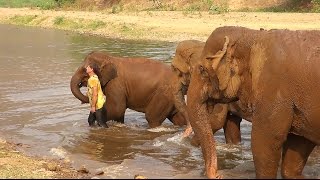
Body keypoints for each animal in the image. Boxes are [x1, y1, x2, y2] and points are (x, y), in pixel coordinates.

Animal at [186, 25, 320, 179]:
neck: (252, 36)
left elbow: (264, 141)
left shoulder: (273, 89)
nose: (218, 174)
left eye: (202, 69)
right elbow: (297, 147)